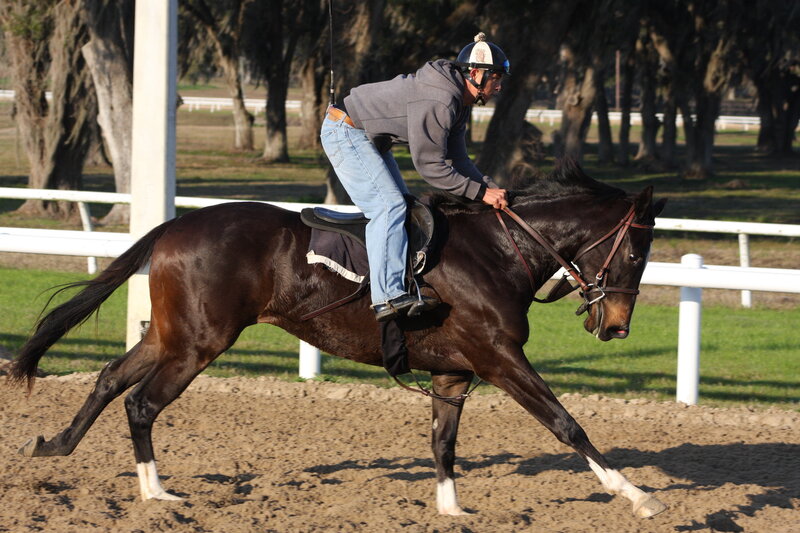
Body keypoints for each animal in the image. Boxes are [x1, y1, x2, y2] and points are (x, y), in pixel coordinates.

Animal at [8, 159, 667, 518]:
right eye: (637, 252)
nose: (616, 325)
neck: (497, 251)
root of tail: (175, 223)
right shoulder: (500, 358)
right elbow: (566, 423)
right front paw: (636, 495)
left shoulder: (454, 370)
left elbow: (443, 443)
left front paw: (451, 508)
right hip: (199, 342)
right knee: (141, 402)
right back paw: (156, 493)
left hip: (173, 333)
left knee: (110, 379)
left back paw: (57, 446)